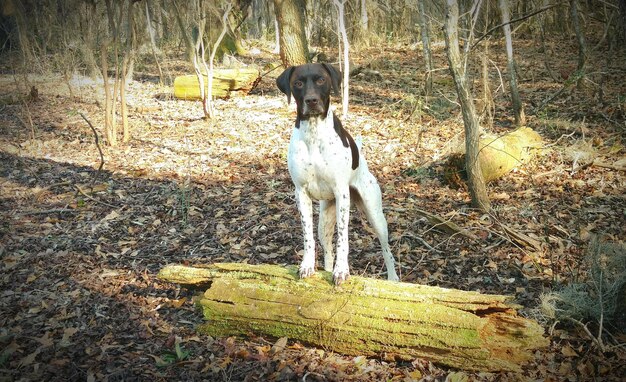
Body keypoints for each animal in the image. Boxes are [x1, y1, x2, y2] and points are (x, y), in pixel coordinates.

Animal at [276, 63, 398, 284]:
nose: (311, 101)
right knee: (327, 248)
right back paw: (325, 268)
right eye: (298, 83)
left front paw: (342, 270)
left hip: (375, 214)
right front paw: (307, 265)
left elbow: (343, 238)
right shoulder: (301, 194)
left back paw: (393, 278)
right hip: (324, 220)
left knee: (386, 249)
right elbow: (308, 237)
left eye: (321, 80)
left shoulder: (342, 194)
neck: (314, 133)